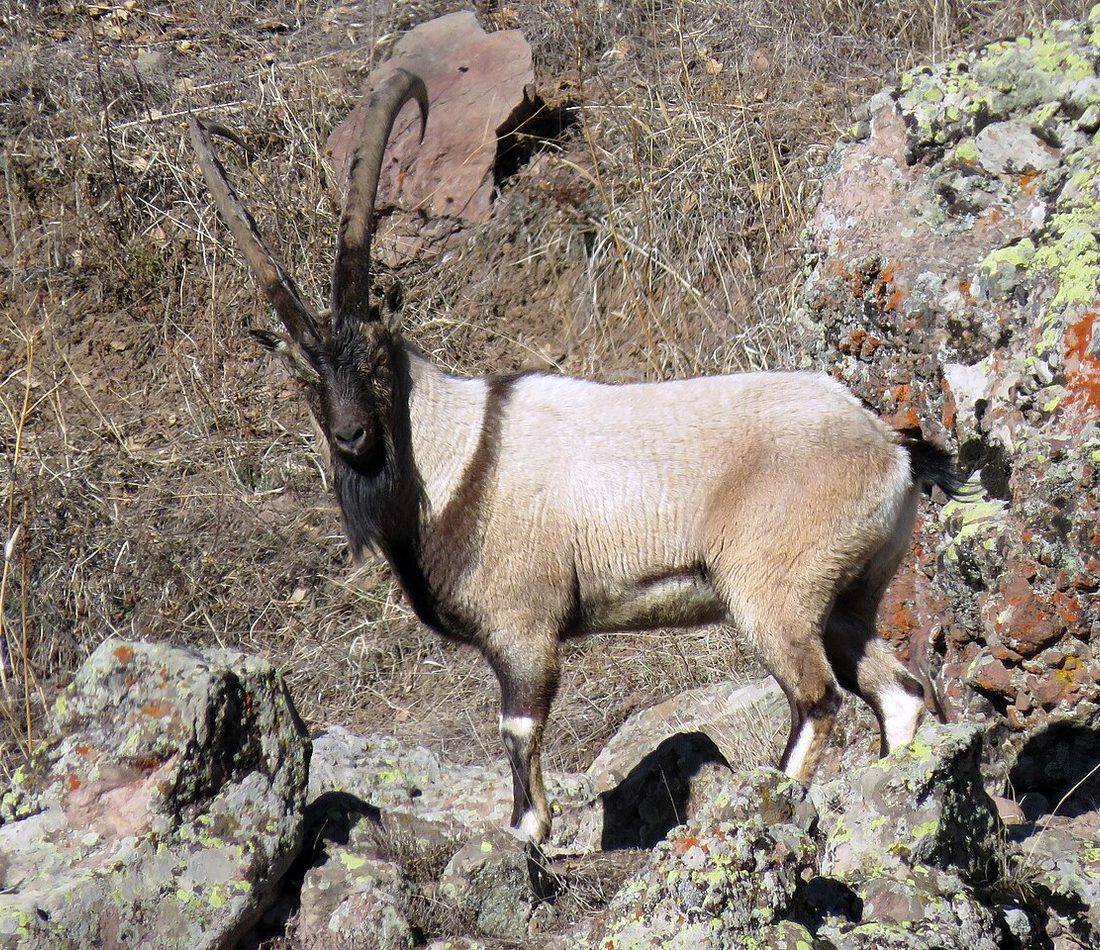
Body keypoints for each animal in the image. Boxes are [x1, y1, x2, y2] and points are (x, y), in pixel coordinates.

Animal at [190, 68, 962, 850]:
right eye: (305, 378)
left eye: (376, 359)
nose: (351, 438)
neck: (457, 458)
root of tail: (889, 447)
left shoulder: (523, 628)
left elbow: (519, 730)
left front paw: (528, 835)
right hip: (849, 595)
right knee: (897, 690)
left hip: (771, 593)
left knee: (818, 698)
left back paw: (769, 803)